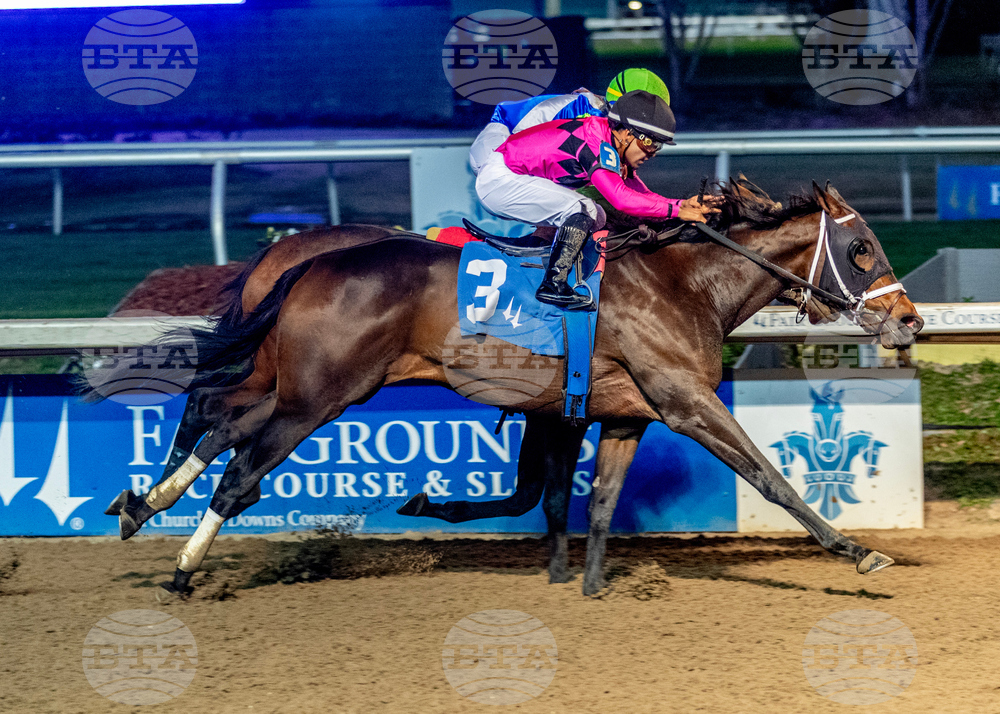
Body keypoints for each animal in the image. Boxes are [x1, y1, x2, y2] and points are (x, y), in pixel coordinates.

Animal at [95, 180, 922, 597]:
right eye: (860, 248)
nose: (909, 321)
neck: (679, 283)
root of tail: (305, 262)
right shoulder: (686, 403)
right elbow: (768, 476)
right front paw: (857, 553)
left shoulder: (625, 415)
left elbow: (595, 501)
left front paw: (588, 583)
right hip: (318, 398)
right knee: (238, 468)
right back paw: (179, 571)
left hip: (305, 386)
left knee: (218, 423)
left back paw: (142, 505)